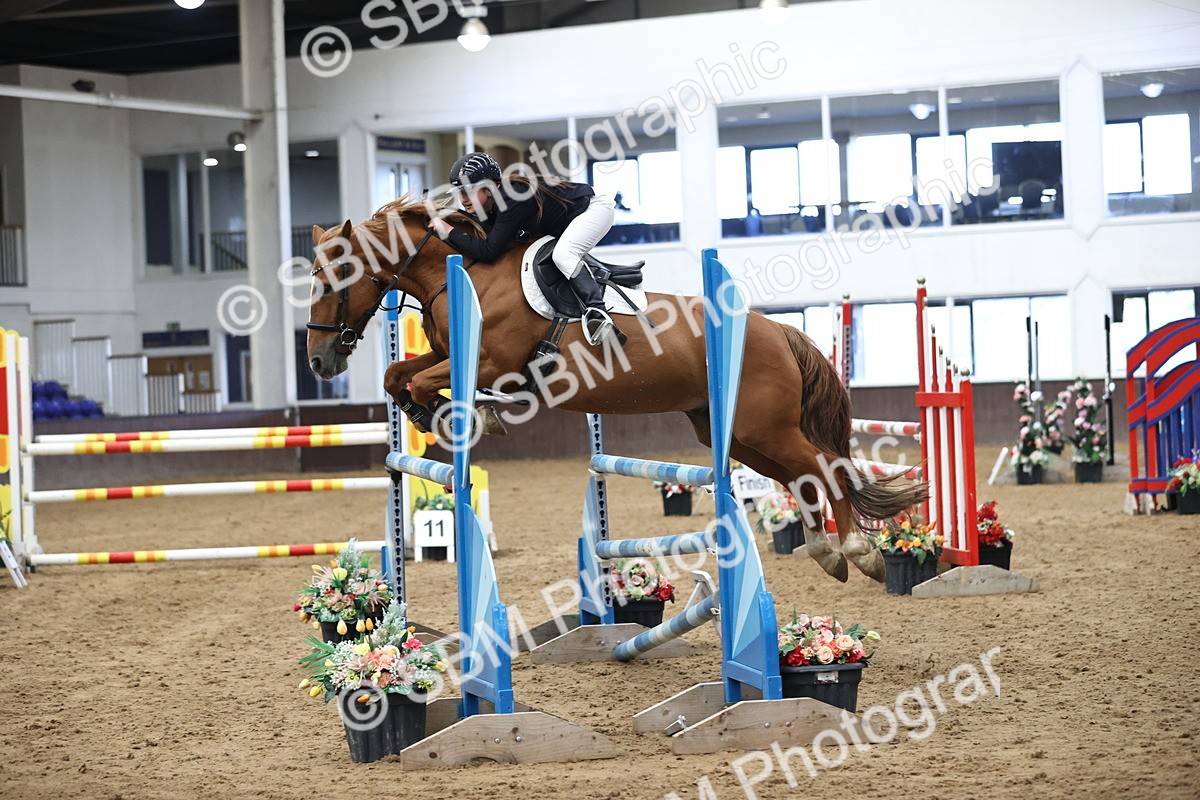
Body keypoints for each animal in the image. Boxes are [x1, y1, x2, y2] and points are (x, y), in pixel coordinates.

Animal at [304, 197, 928, 582]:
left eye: (335, 278)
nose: (319, 360)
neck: (462, 273)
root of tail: (776, 329)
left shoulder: (491, 364)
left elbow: (427, 380)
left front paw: (462, 415)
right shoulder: (450, 356)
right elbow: (399, 375)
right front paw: (425, 411)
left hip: (762, 427)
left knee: (824, 469)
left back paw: (857, 553)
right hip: (734, 435)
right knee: (802, 474)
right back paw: (827, 551)